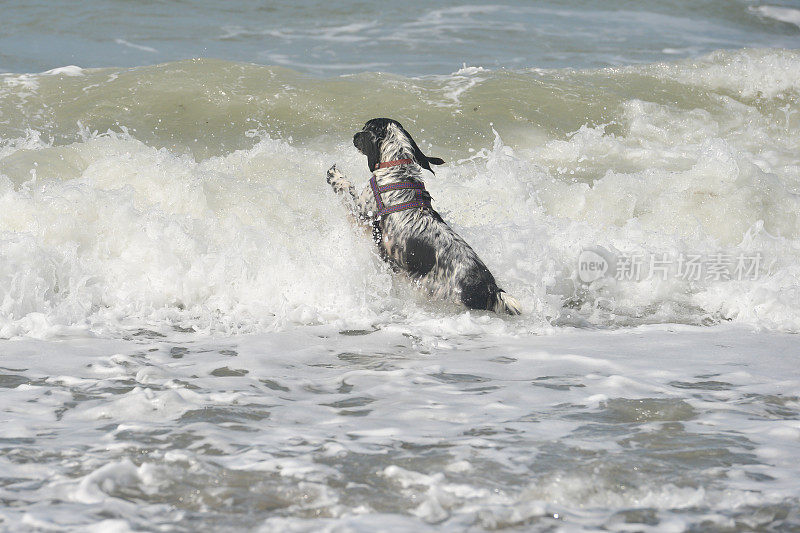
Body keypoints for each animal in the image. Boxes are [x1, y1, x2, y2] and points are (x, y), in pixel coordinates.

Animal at [326, 118, 520, 314]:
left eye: (365, 128)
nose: (354, 136)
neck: (397, 169)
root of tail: (491, 290)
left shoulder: (363, 216)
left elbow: (347, 189)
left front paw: (335, 176)